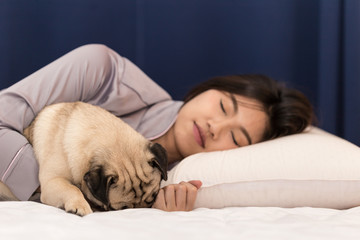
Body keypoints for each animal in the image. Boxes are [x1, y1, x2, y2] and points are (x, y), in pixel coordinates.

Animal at [0, 101, 168, 216]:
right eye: (122, 209)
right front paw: (80, 205)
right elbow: (72, 188)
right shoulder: (52, 181)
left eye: (153, 199)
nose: (143, 209)